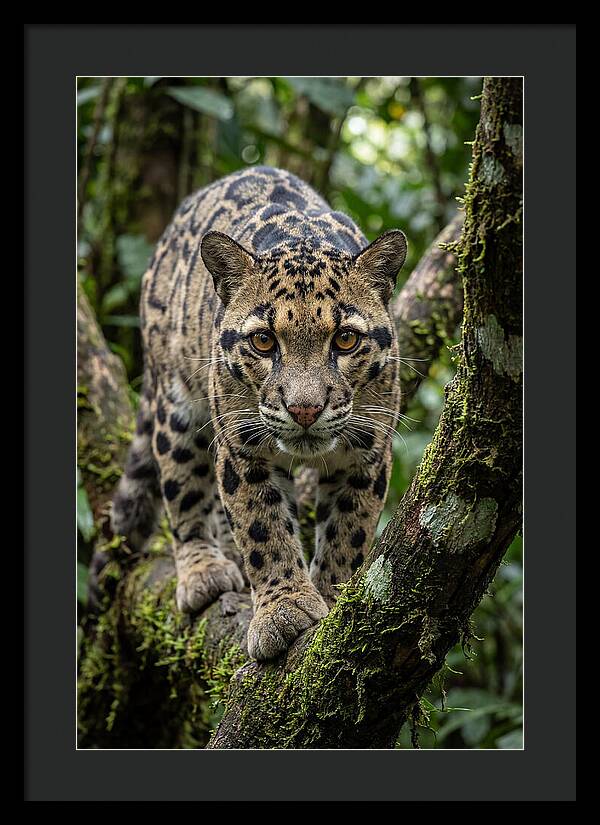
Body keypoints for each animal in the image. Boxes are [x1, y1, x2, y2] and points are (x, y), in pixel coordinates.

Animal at [111, 165, 407, 661]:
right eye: (264, 341)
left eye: (346, 339)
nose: (305, 408)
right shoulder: (242, 447)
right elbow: (262, 528)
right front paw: (284, 611)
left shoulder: (367, 450)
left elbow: (349, 530)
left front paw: (333, 597)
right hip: (176, 405)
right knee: (183, 489)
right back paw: (204, 570)